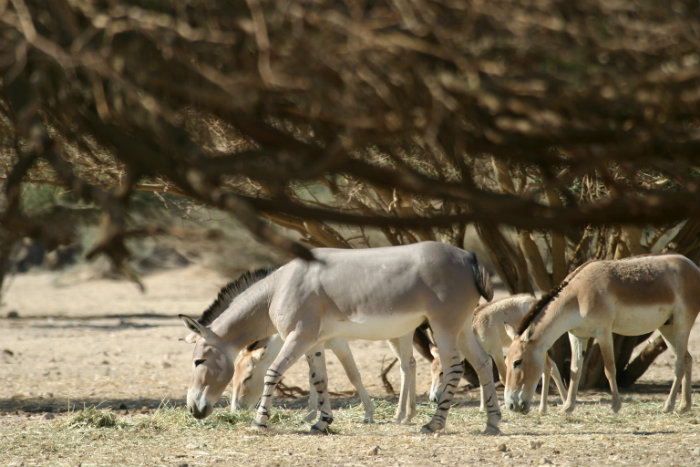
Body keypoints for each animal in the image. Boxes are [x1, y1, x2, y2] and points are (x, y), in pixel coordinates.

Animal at [180, 241, 498, 436]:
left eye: (199, 361)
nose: (194, 410)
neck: (280, 287)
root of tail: (469, 257)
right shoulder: (315, 342)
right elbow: (320, 380)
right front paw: (322, 423)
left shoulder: (299, 337)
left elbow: (273, 373)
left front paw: (259, 422)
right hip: (462, 327)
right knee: (483, 362)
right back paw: (492, 423)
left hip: (444, 327)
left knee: (454, 367)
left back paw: (434, 424)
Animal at [504, 256, 700, 414]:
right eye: (506, 362)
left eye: (517, 362)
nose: (511, 405)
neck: (578, 296)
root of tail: (694, 267)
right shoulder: (577, 335)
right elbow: (575, 370)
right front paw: (567, 407)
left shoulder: (603, 332)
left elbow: (609, 368)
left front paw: (616, 406)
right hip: (667, 328)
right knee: (687, 359)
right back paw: (684, 406)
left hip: (682, 325)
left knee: (679, 363)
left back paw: (668, 406)